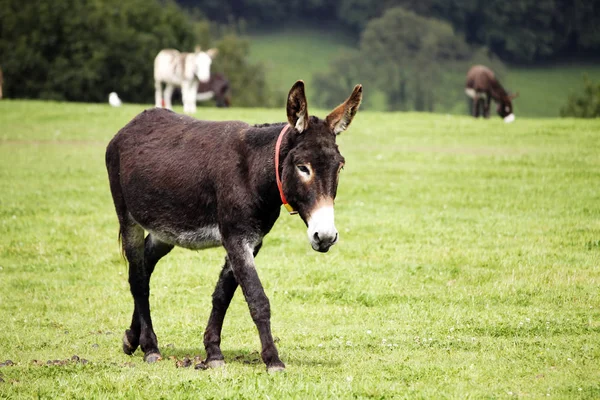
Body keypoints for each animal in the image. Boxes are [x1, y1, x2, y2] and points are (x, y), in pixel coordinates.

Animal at [105, 81, 364, 372]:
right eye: (303, 167)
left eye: (340, 167)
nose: (326, 236)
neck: (253, 172)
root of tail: (133, 123)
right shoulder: (235, 238)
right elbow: (256, 298)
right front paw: (273, 359)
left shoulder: (251, 240)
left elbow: (223, 294)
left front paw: (213, 352)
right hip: (128, 217)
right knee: (137, 278)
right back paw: (150, 346)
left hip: (166, 229)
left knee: (144, 265)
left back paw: (132, 337)